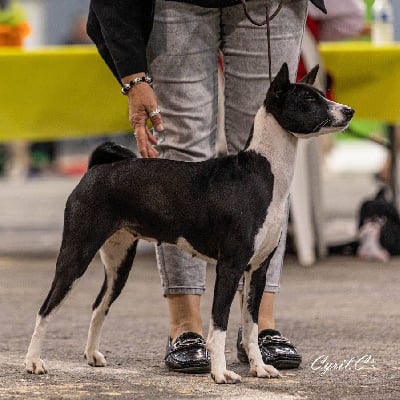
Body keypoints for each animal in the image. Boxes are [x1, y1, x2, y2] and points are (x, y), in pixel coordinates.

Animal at [24, 64, 354, 382]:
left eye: (320, 93)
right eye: (308, 99)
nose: (349, 110)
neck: (263, 174)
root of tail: (95, 169)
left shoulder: (258, 269)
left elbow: (250, 326)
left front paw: (259, 368)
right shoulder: (230, 266)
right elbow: (219, 325)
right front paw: (220, 373)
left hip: (119, 261)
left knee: (98, 305)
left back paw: (92, 355)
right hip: (76, 254)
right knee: (45, 309)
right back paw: (33, 362)